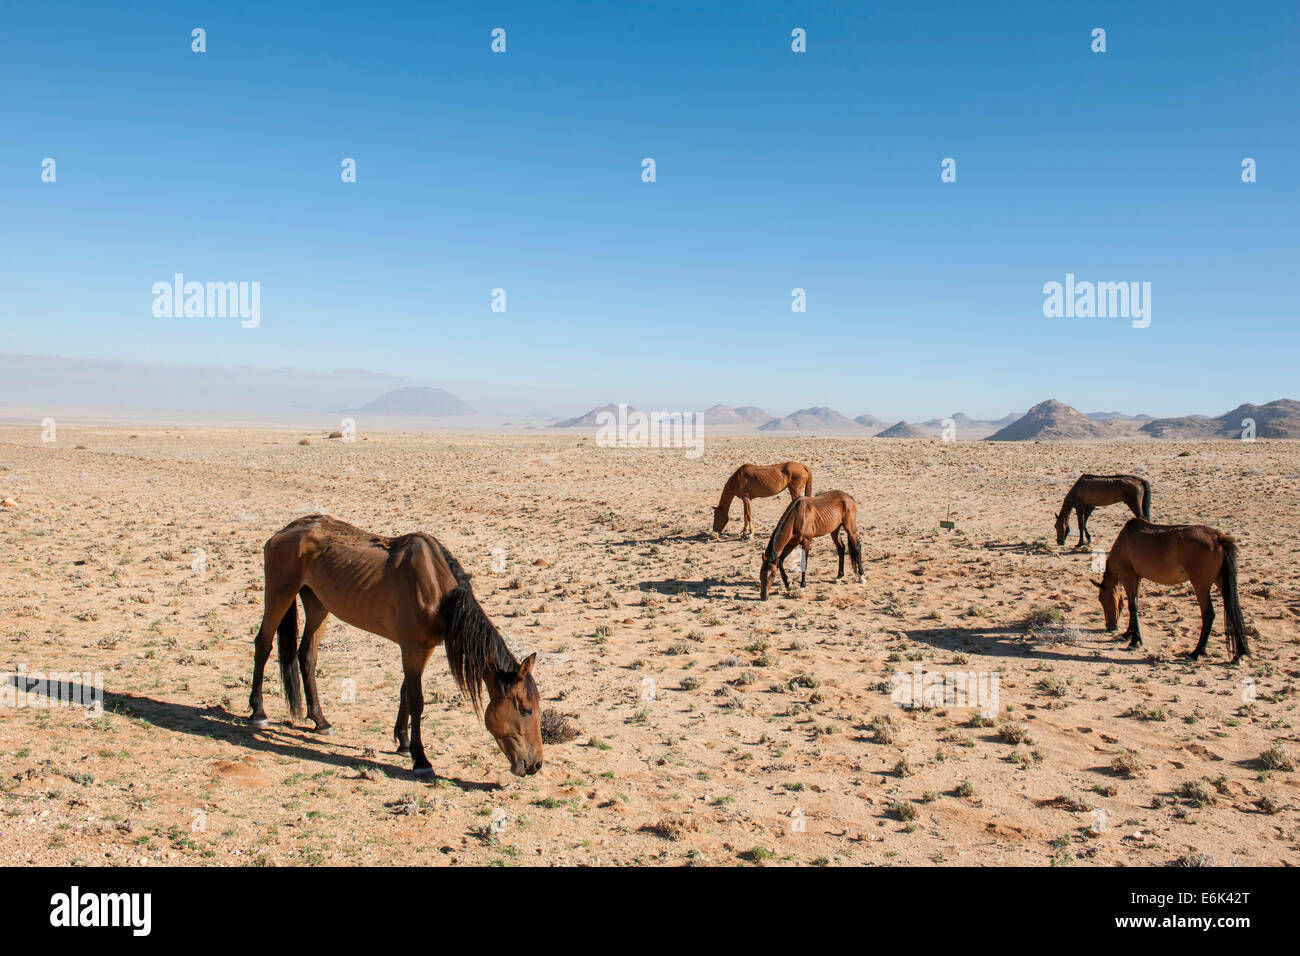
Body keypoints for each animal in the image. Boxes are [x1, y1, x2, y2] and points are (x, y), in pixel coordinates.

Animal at [247, 515, 543, 779]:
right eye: (527, 710)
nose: (536, 764)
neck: (438, 591)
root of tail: (284, 531)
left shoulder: (425, 648)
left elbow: (404, 692)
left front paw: (402, 742)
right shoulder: (411, 647)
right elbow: (417, 700)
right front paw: (421, 759)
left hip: (317, 603)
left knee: (307, 656)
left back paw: (320, 721)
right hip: (280, 594)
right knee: (263, 645)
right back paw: (258, 712)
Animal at [1093, 518, 1250, 663]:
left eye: (1101, 599)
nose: (1110, 626)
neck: (1124, 540)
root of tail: (1217, 537)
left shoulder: (1128, 576)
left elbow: (1133, 607)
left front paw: (1134, 640)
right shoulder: (1138, 578)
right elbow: (1135, 605)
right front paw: (1128, 634)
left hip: (1201, 585)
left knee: (1209, 614)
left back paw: (1196, 652)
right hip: (1221, 581)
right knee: (1233, 610)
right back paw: (1239, 654)